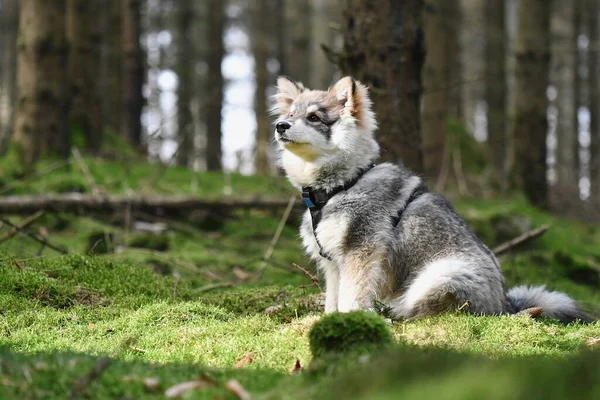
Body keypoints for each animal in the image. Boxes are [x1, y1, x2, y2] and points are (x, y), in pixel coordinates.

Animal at [270, 76, 592, 324]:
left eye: (314, 117)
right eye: (291, 114)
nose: (280, 126)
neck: (338, 186)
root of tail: (505, 304)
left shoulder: (360, 253)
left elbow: (352, 298)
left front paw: (355, 319)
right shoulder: (334, 263)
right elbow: (333, 300)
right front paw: (329, 321)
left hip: (436, 277)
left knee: (427, 311)